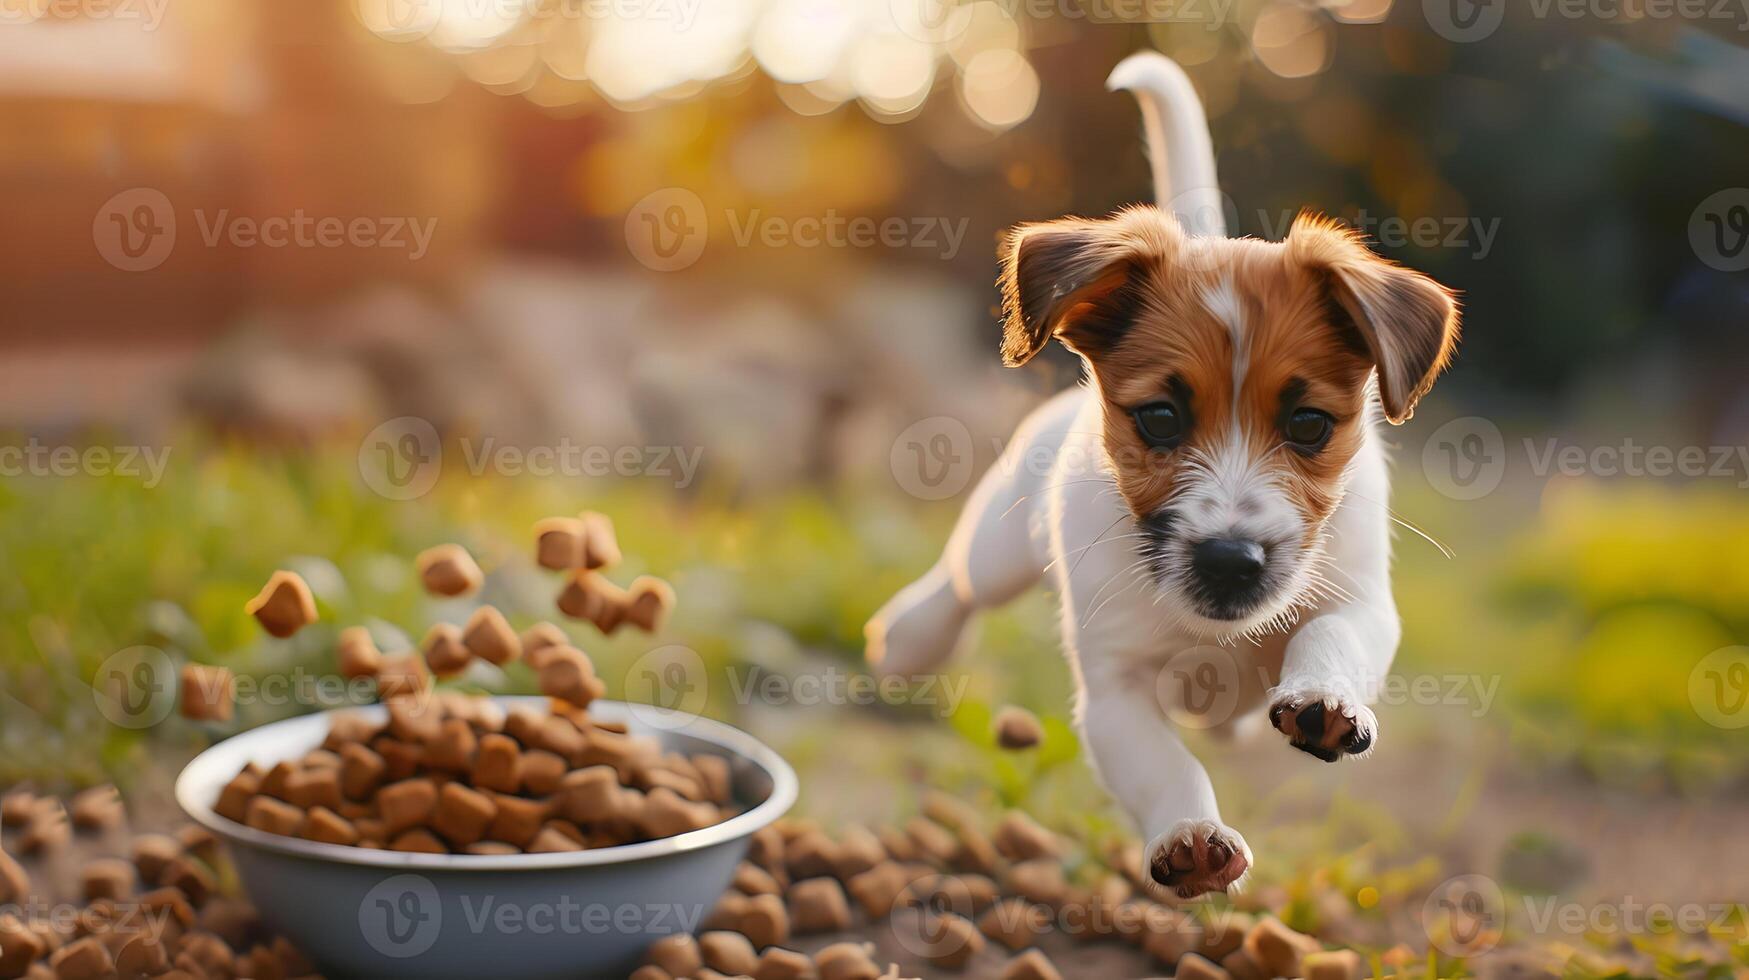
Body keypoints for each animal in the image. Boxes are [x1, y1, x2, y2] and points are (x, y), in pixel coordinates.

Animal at [864, 51, 1462, 896]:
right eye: (1159, 419)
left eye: (1308, 424)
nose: (1230, 561)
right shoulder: (1114, 692)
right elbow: (1164, 765)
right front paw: (1189, 835)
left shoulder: (1360, 601)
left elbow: (1331, 636)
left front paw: (1323, 699)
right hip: (999, 542)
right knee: (961, 580)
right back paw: (911, 637)